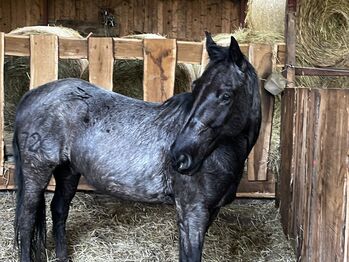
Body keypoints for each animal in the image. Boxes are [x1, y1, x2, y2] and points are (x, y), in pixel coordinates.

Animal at [13, 32, 260, 262]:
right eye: (196, 87)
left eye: (226, 95)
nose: (179, 156)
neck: (215, 153)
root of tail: (32, 95)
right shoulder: (192, 213)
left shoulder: (208, 213)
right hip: (36, 172)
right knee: (26, 222)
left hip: (68, 171)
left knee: (59, 210)